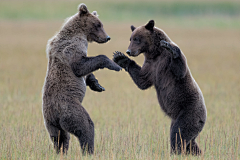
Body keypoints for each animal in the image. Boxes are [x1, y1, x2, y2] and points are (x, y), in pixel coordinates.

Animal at [42, 3, 121, 154]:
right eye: (98, 24)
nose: (107, 37)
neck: (79, 33)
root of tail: (54, 114)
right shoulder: (72, 48)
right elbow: (80, 66)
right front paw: (115, 65)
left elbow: (87, 71)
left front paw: (98, 86)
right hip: (70, 109)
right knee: (85, 126)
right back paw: (89, 151)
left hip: (50, 123)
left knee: (60, 138)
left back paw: (61, 152)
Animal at [113, 19, 207, 155]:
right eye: (130, 38)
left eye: (137, 39)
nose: (129, 51)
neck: (155, 53)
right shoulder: (151, 66)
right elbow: (142, 80)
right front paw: (120, 58)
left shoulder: (165, 63)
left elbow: (180, 71)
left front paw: (171, 48)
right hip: (177, 119)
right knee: (188, 140)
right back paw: (197, 152)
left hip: (189, 112)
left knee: (179, 134)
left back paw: (176, 152)